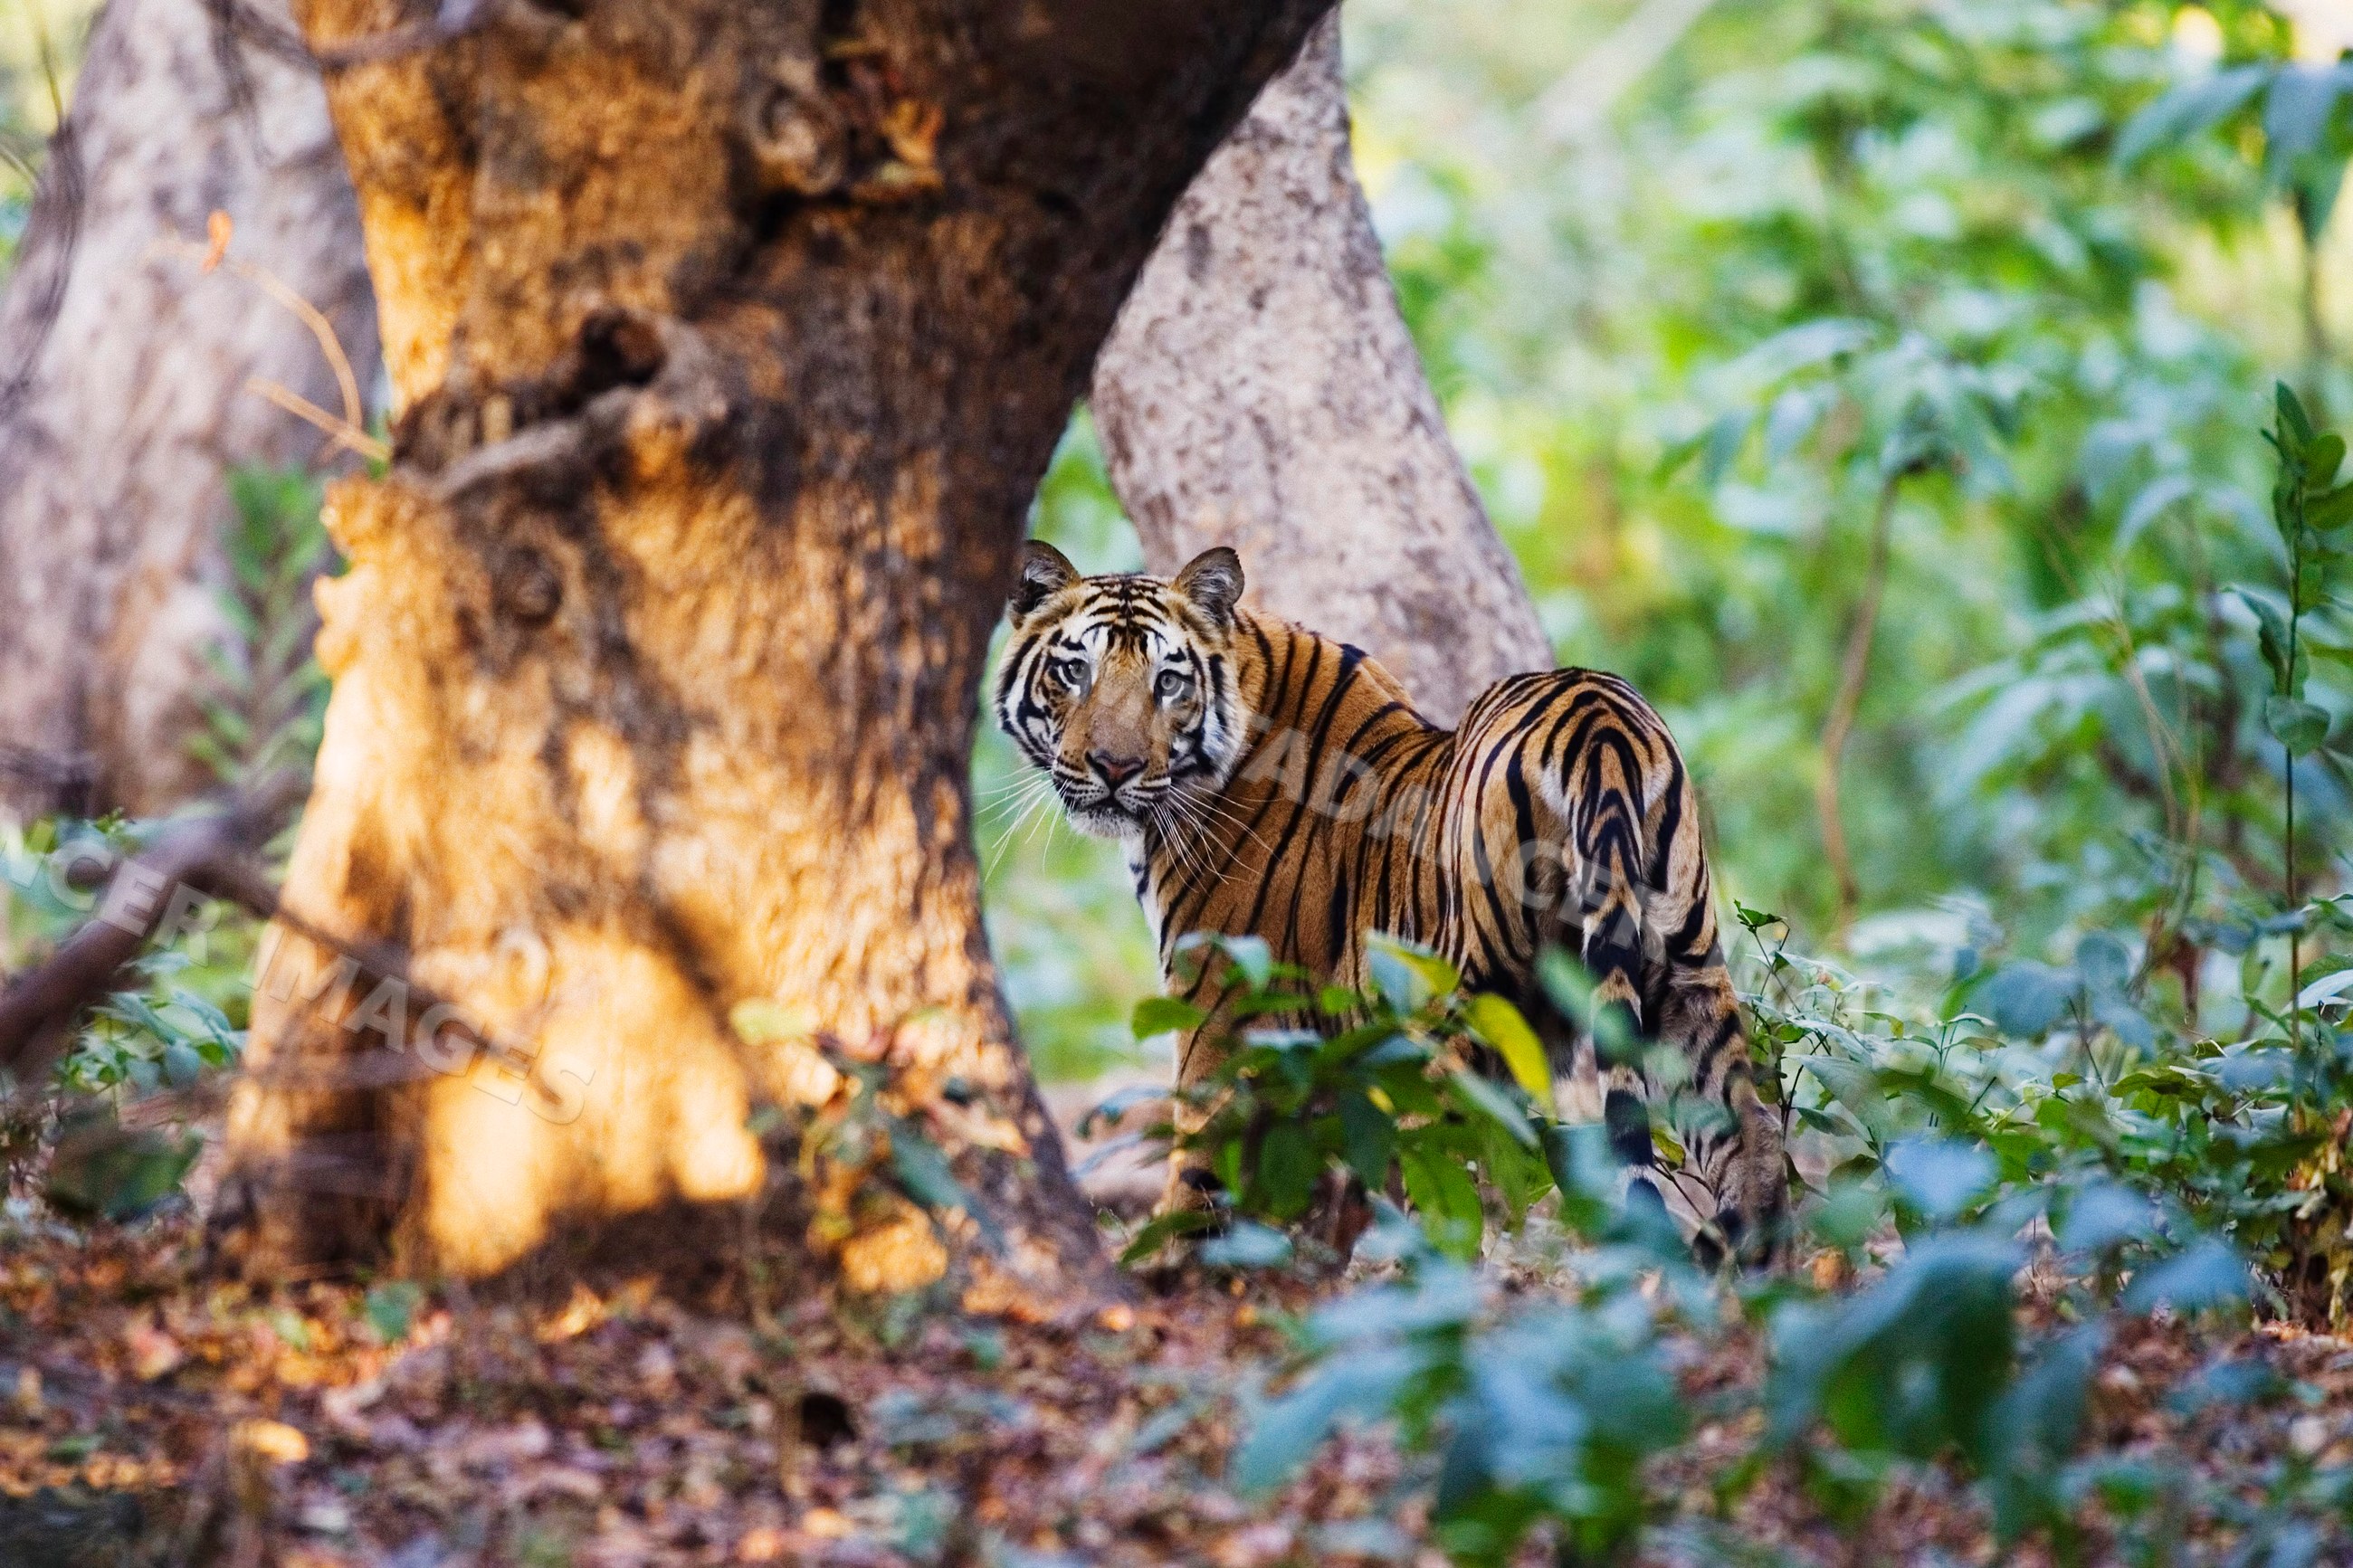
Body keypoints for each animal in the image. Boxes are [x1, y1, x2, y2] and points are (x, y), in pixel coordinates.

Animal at [992, 540, 1786, 1267]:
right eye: (1074, 671)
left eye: (1168, 681)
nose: (1114, 767)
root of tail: (1599, 723)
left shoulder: (1221, 1004)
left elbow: (1202, 1165)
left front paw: (1181, 1269)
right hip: (1685, 981)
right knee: (1756, 1143)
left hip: (1466, 1013)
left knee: (1447, 1181)